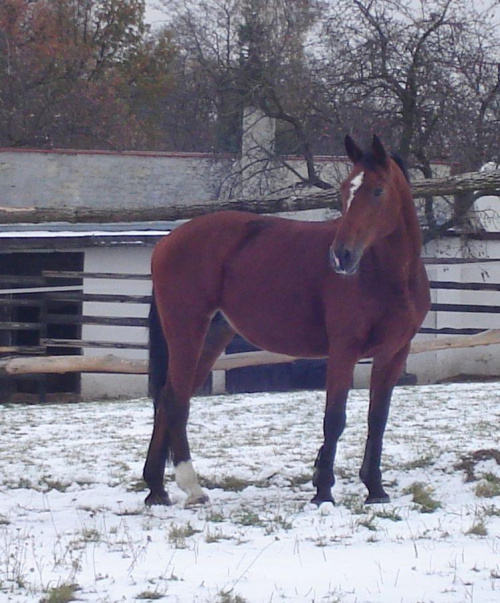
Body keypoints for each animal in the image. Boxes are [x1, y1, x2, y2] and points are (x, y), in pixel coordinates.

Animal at [144, 136, 430, 510]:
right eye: (344, 190)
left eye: (378, 190)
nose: (341, 255)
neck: (388, 274)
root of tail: (166, 242)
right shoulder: (344, 350)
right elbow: (334, 418)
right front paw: (323, 490)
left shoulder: (393, 354)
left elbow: (377, 420)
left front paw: (375, 489)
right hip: (186, 332)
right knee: (176, 400)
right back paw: (192, 487)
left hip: (212, 336)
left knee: (168, 399)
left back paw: (156, 488)